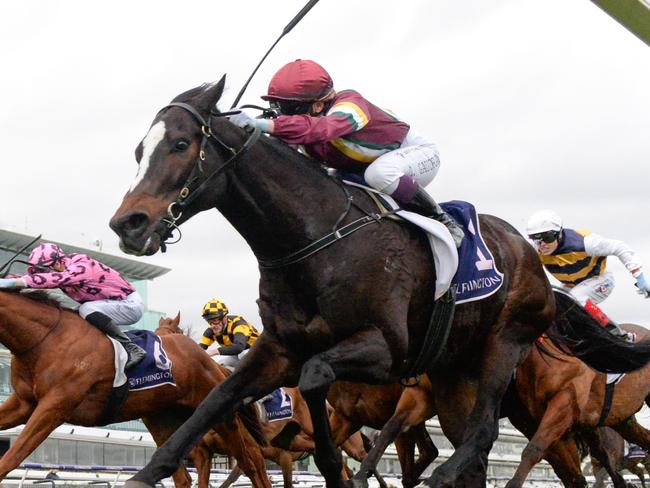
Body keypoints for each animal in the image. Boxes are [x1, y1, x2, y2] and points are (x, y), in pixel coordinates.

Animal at [0, 292, 268, 486]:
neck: (47, 339)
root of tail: (212, 365)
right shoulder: (23, 404)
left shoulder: (54, 408)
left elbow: (10, 459)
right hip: (162, 420)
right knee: (183, 475)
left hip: (221, 417)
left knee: (251, 463)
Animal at [107, 78, 650, 486]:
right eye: (137, 150)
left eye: (181, 144)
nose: (127, 224)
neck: (316, 240)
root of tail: (529, 254)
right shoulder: (279, 348)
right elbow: (217, 399)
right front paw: (147, 473)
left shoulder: (385, 348)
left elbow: (316, 378)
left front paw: (336, 468)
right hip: (453, 371)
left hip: (505, 342)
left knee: (484, 434)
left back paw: (441, 475)